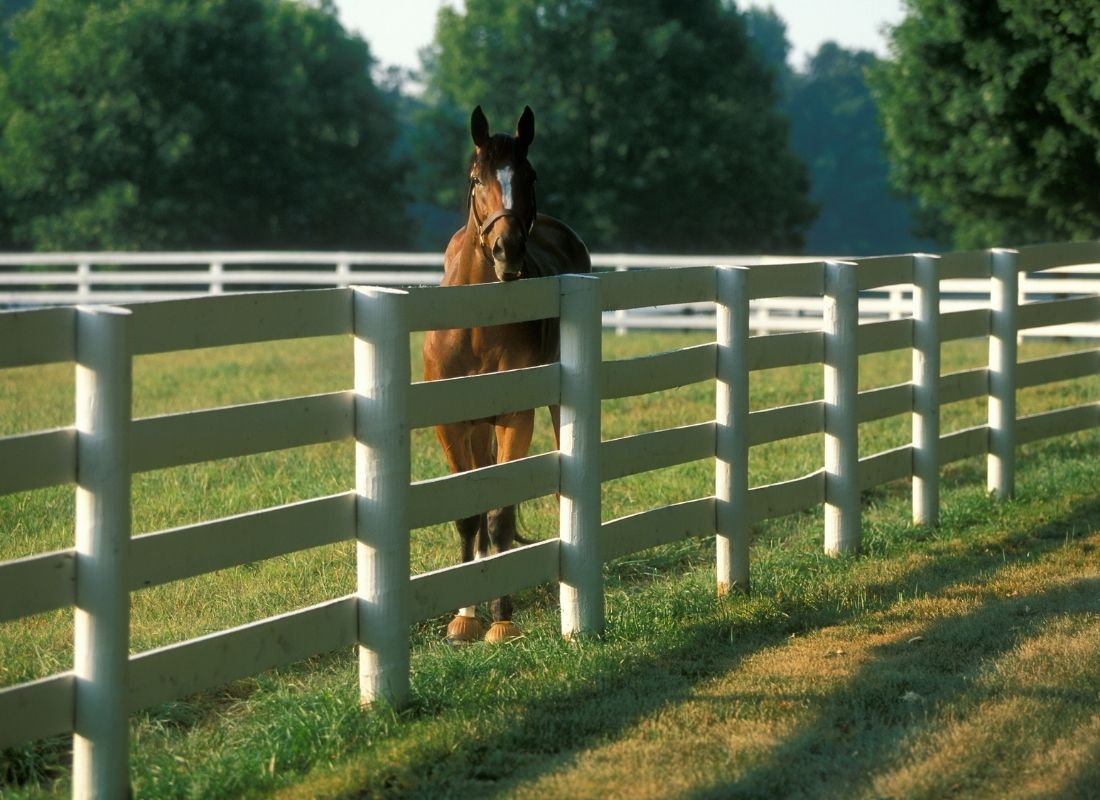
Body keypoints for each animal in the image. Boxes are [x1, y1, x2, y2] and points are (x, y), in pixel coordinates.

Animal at [422, 105, 591, 644]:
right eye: (476, 178)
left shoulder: (515, 417)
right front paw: (464, 617)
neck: (477, 325)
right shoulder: (451, 424)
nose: (507, 250)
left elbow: (498, 516)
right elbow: (469, 515)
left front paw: (501, 619)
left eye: (529, 175)